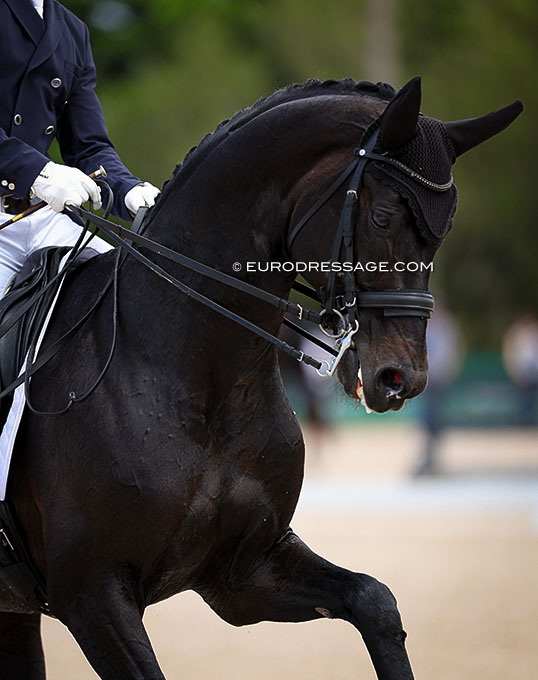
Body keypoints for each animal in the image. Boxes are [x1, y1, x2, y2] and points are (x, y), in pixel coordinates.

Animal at [0, 76, 522, 679]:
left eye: (443, 231)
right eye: (383, 218)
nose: (401, 378)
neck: (197, 382)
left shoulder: (244, 572)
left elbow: (375, 600)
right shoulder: (92, 593)